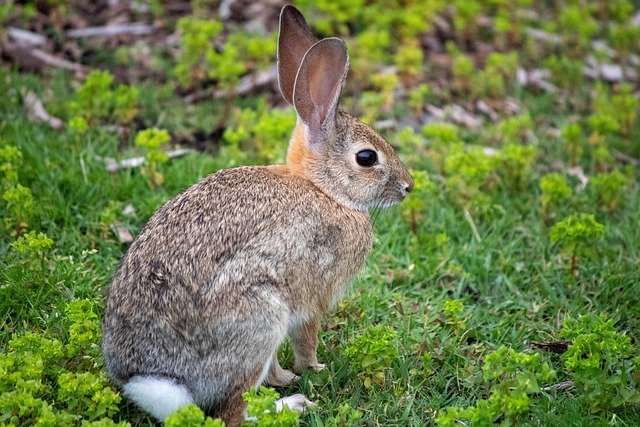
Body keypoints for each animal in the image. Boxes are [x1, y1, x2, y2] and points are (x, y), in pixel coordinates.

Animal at [102, 4, 416, 427]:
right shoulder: (312, 298)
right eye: (367, 158)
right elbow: (306, 339)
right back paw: (294, 405)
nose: (408, 186)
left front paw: (284, 376)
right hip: (261, 315)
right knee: (231, 412)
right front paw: (314, 370)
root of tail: (154, 381)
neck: (323, 189)